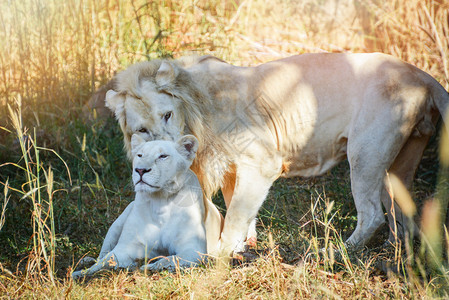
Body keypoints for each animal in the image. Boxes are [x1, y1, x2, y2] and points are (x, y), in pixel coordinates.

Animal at [72, 135, 222, 278]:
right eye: (140, 155)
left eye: (163, 156)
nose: (140, 170)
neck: (160, 202)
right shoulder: (128, 246)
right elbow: (106, 260)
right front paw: (78, 275)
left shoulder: (194, 250)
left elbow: (170, 259)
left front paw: (150, 267)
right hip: (116, 225)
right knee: (101, 255)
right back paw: (86, 261)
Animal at [102, 53, 448, 255]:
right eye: (142, 130)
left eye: (167, 115)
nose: (166, 153)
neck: (198, 108)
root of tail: (423, 76)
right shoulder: (231, 169)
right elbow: (238, 208)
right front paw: (245, 246)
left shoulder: (262, 163)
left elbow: (236, 214)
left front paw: (220, 254)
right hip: (400, 160)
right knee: (402, 209)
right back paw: (395, 252)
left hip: (365, 153)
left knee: (373, 213)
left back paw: (338, 252)